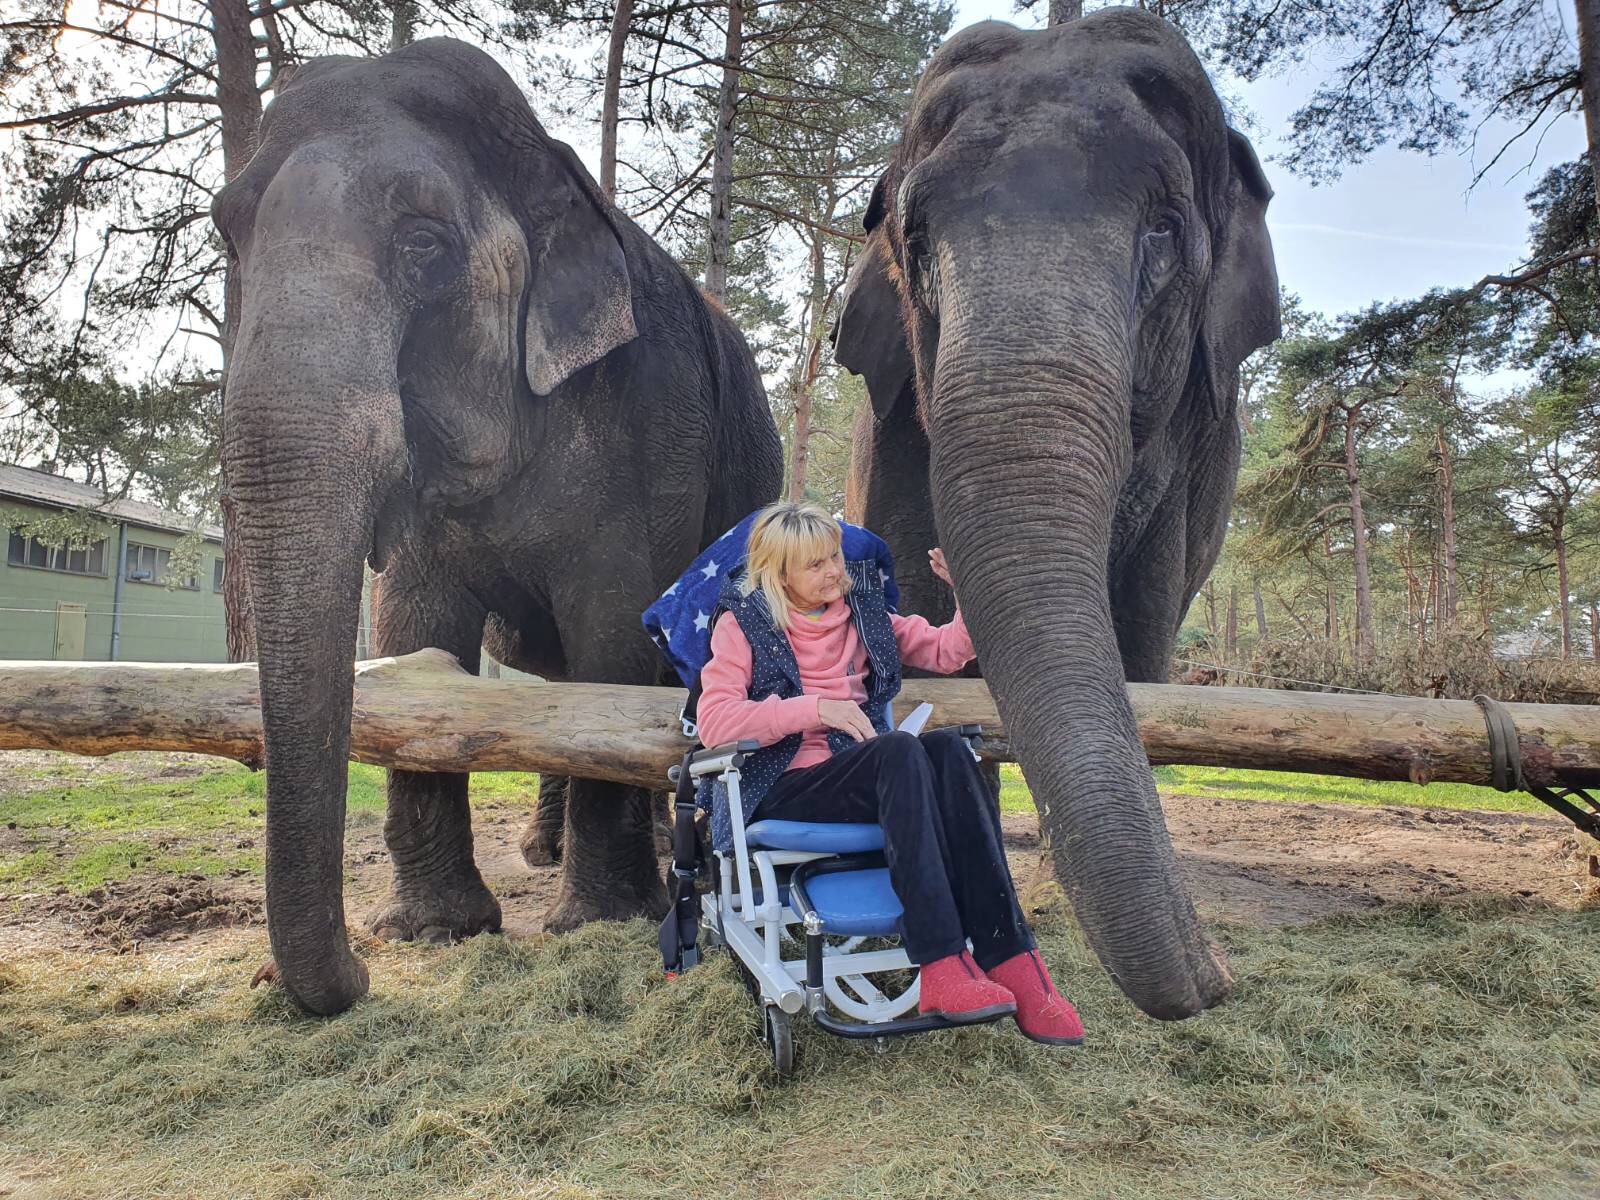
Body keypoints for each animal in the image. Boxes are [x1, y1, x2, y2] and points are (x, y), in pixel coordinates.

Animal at [217, 37, 780, 1017]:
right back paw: (544, 852)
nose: (355, 975)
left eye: (422, 242)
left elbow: (612, 628)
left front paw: (595, 924)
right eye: (225, 230)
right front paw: (437, 931)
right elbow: (417, 631)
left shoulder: (649, 423)